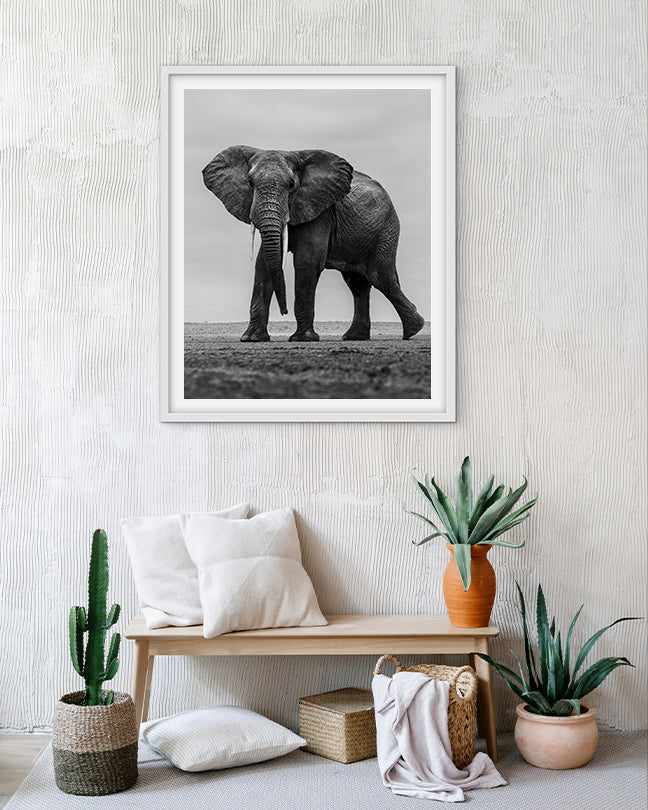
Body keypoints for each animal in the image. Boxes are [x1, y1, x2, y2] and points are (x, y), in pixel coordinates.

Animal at [202, 146, 425, 343]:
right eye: (249, 182)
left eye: (292, 185)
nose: (284, 311)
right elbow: (263, 263)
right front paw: (251, 339)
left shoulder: (319, 212)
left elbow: (306, 262)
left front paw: (302, 339)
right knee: (358, 284)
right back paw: (355, 337)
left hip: (386, 230)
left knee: (382, 277)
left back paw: (414, 330)